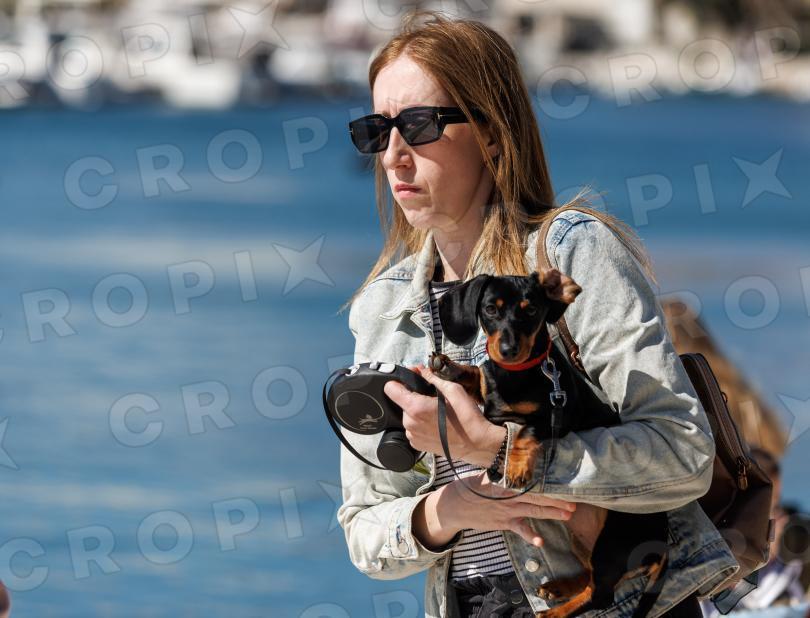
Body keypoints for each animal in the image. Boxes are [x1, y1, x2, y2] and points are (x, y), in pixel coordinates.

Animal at [428, 268, 670, 617]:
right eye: (490, 309)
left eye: (531, 310)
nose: (508, 349)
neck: (516, 373)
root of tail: (662, 547)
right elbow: (478, 375)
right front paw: (450, 367)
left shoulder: (557, 414)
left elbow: (525, 429)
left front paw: (515, 467)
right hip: (583, 537)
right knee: (589, 579)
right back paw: (559, 587)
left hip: (612, 542)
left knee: (600, 595)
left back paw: (554, 612)